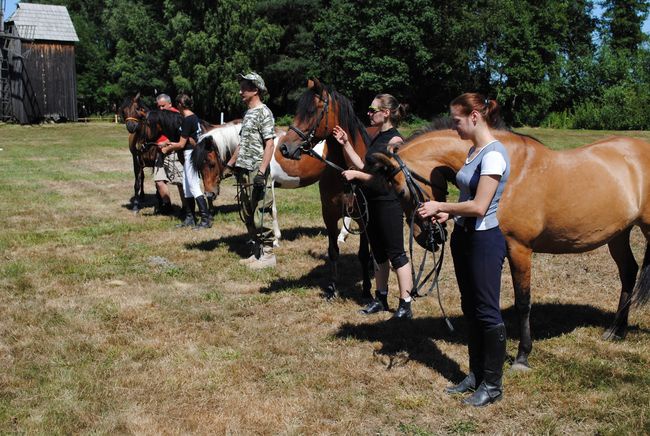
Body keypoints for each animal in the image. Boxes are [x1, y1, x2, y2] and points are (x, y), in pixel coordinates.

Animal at [368, 121, 648, 370]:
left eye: (401, 192)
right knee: (628, 272)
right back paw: (616, 330)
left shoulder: (519, 248)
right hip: (618, 234)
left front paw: (522, 355)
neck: (507, 171)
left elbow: (523, 303)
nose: (428, 239)